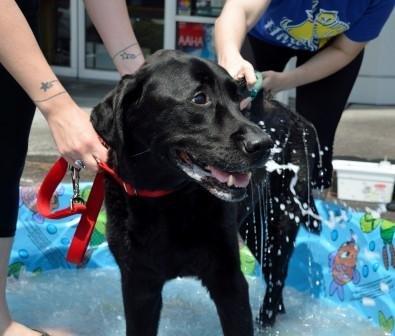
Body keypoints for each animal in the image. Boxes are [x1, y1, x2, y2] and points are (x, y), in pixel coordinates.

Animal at [93, 48, 322, 334]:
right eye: (200, 98)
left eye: (238, 99)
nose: (264, 144)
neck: (166, 200)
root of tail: (296, 117)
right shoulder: (138, 284)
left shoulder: (229, 281)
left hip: (279, 222)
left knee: (277, 276)